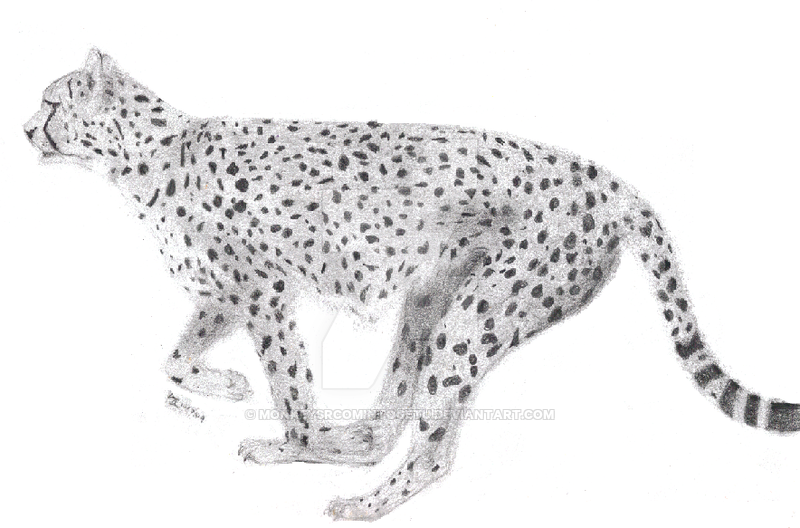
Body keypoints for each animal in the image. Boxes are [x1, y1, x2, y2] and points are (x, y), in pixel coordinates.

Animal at [24, 49, 799, 521]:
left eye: (54, 103)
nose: (28, 129)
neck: (144, 160)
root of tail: (605, 179)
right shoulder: (224, 296)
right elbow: (177, 358)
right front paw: (228, 387)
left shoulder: (264, 292)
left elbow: (289, 384)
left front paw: (291, 441)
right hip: (432, 300)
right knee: (390, 418)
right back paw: (348, 444)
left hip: (476, 317)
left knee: (433, 450)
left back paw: (360, 500)